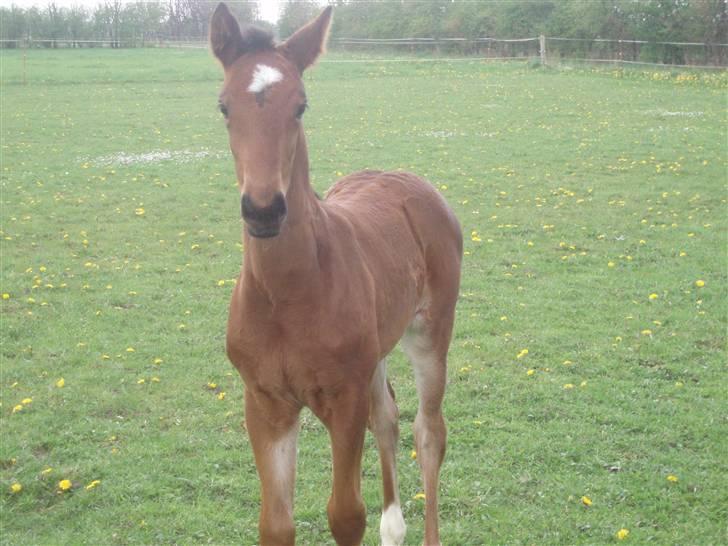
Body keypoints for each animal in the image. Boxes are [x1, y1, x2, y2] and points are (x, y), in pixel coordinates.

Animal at [209, 3, 460, 540]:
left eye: (301, 105)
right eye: (224, 106)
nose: (264, 210)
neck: (286, 294)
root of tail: (409, 180)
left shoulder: (344, 400)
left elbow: (346, 515)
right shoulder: (265, 404)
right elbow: (276, 526)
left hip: (431, 331)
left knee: (428, 431)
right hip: (377, 347)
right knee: (388, 415)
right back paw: (394, 530)